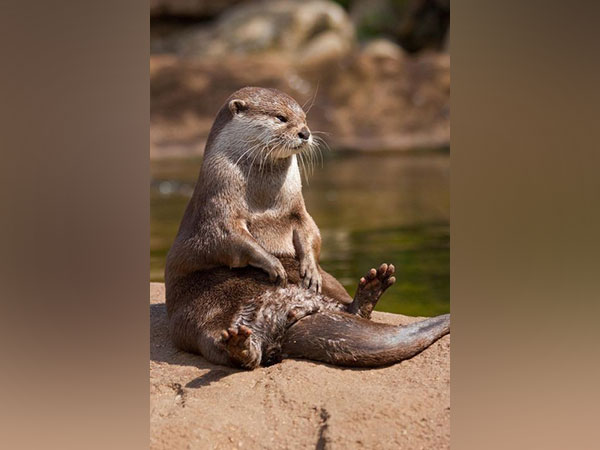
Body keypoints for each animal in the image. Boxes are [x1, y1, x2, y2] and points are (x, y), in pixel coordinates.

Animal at [164, 87, 450, 370]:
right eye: (281, 118)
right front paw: (272, 264)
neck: (263, 200)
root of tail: (288, 314)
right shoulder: (217, 207)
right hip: (202, 315)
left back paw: (371, 288)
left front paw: (309, 268)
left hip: (330, 283)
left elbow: (311, 232)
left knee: (346, 308)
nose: (305, 132)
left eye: (304, 118)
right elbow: (230, 239)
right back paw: (240, 345)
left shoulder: (298, 210)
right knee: (223, 346)